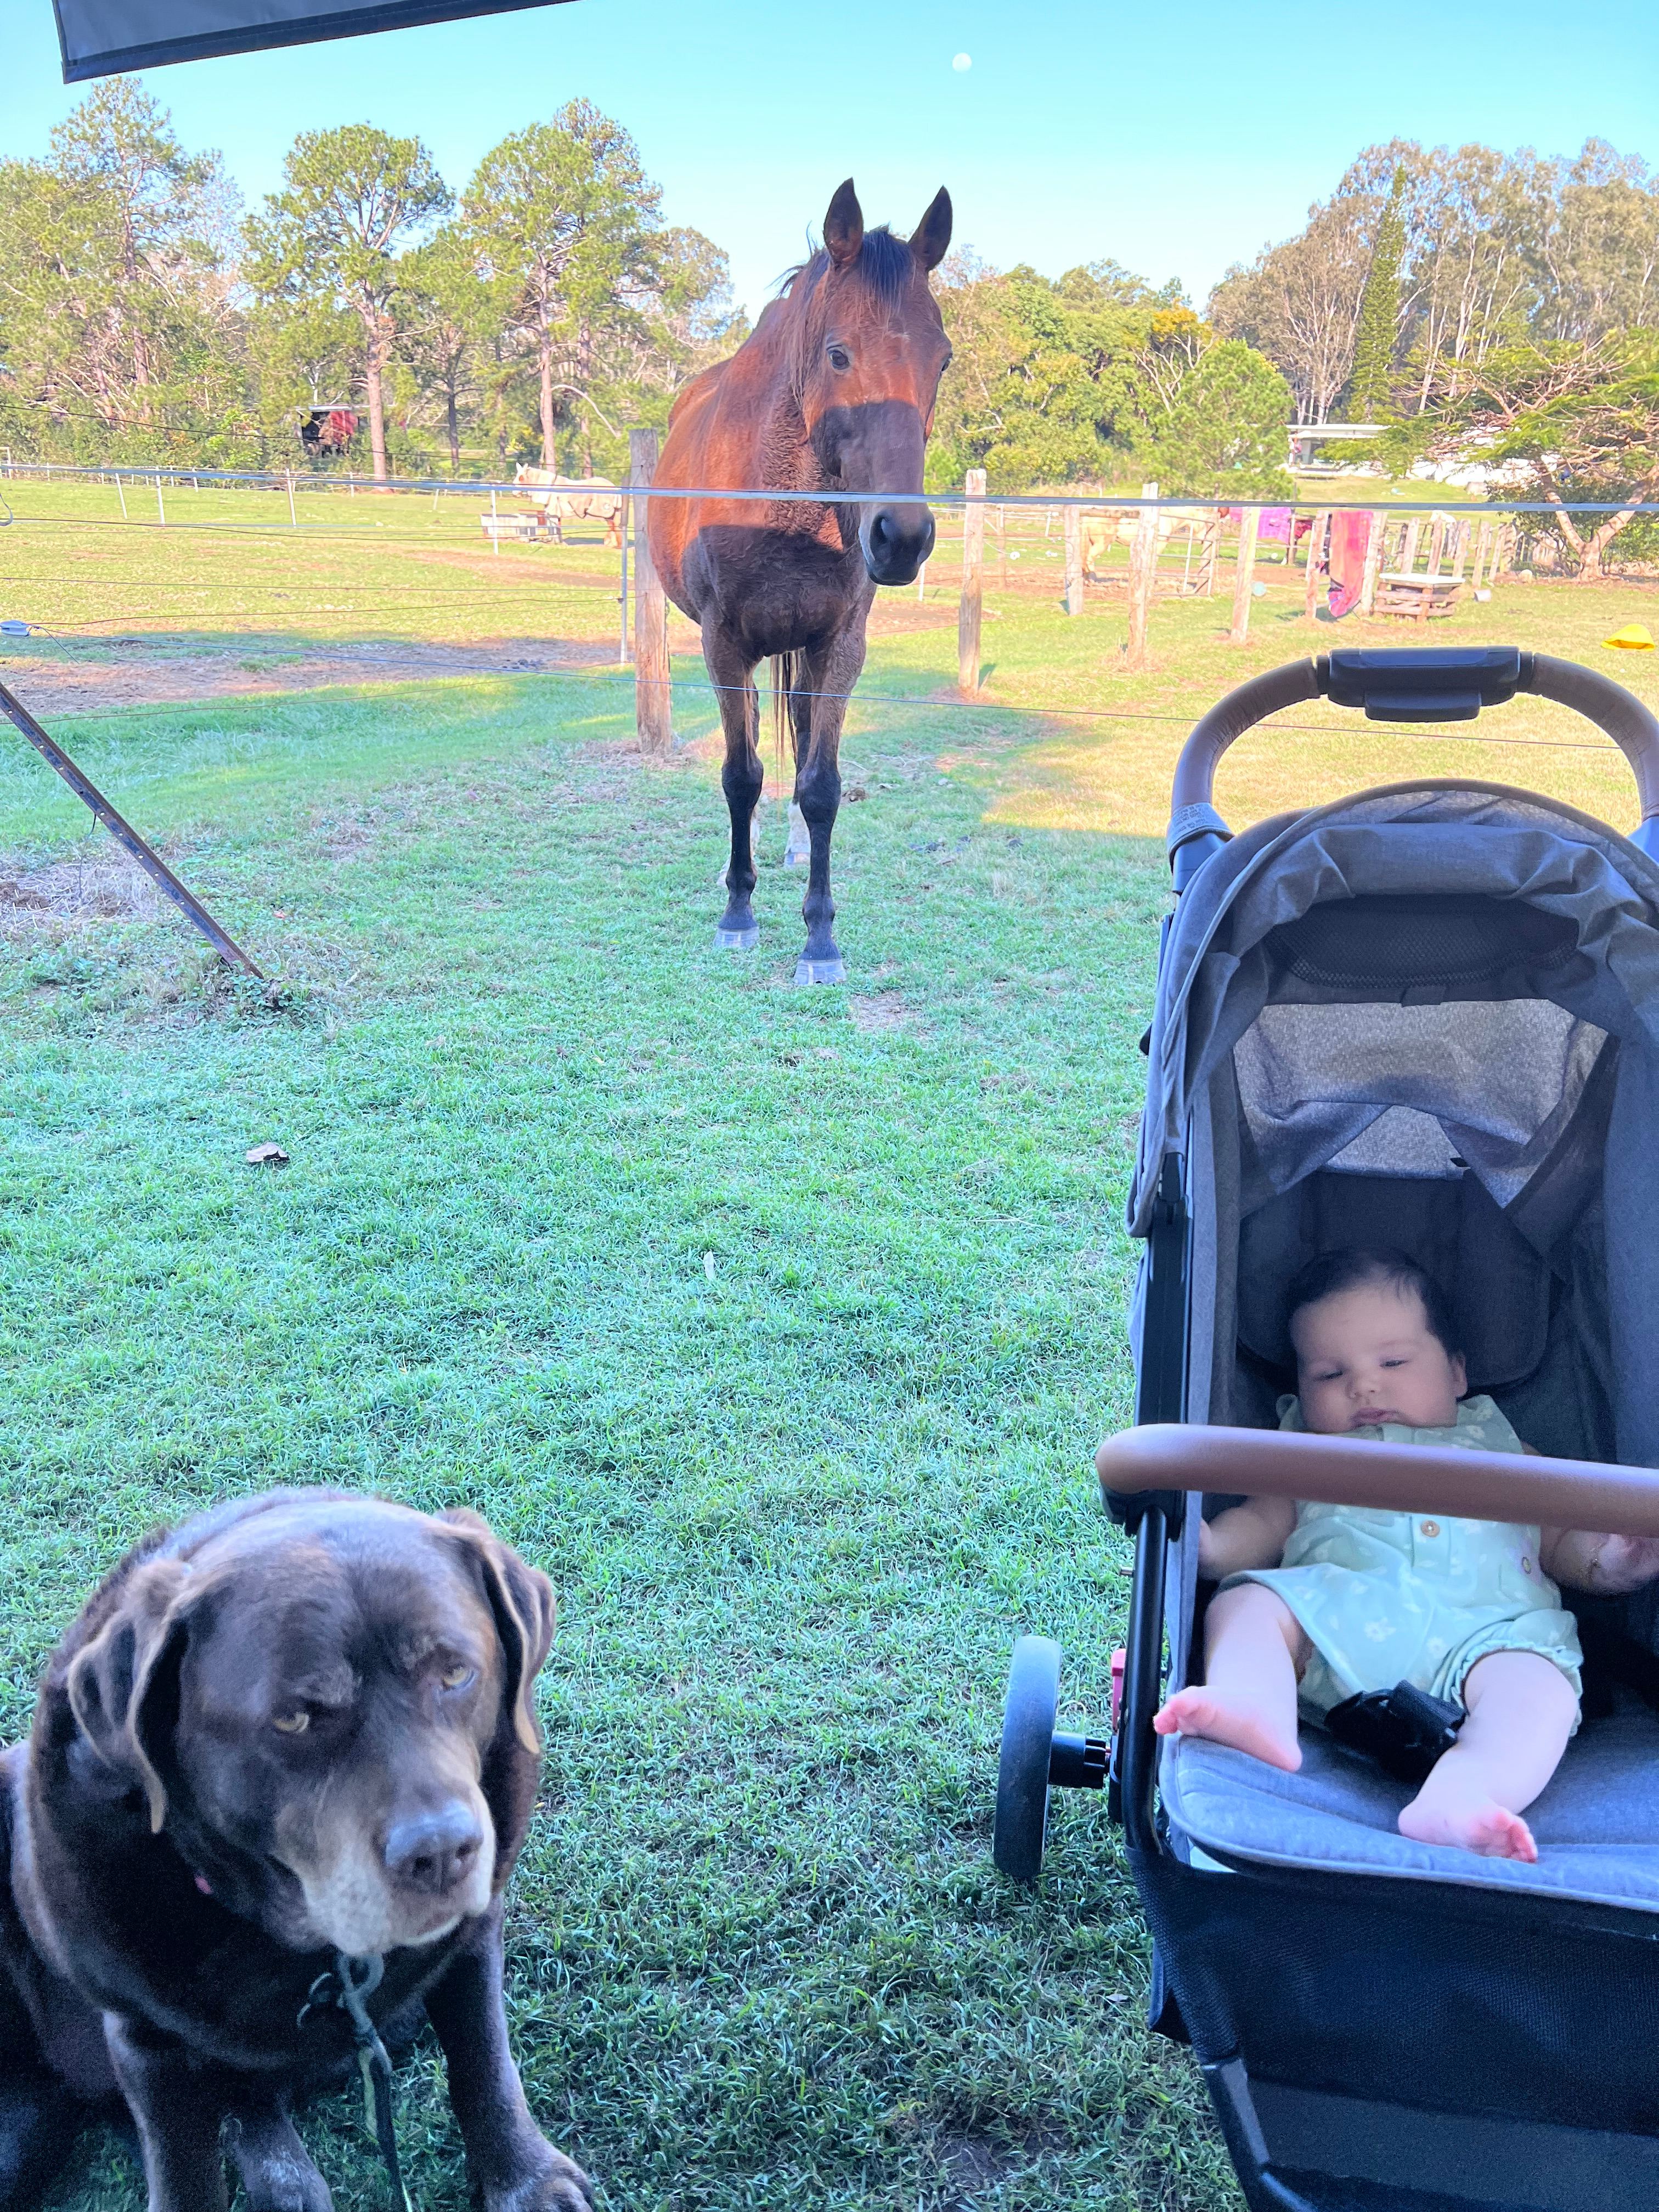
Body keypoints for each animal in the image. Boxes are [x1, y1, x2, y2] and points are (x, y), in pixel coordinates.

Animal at [648, 178, 952, 982]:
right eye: (838, 355)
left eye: (942, 361)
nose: (902, 538)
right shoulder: (723, 646)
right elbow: (740, 774)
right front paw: (738, 912)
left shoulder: (839, 647)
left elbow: (821, 786)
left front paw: (819, 937)